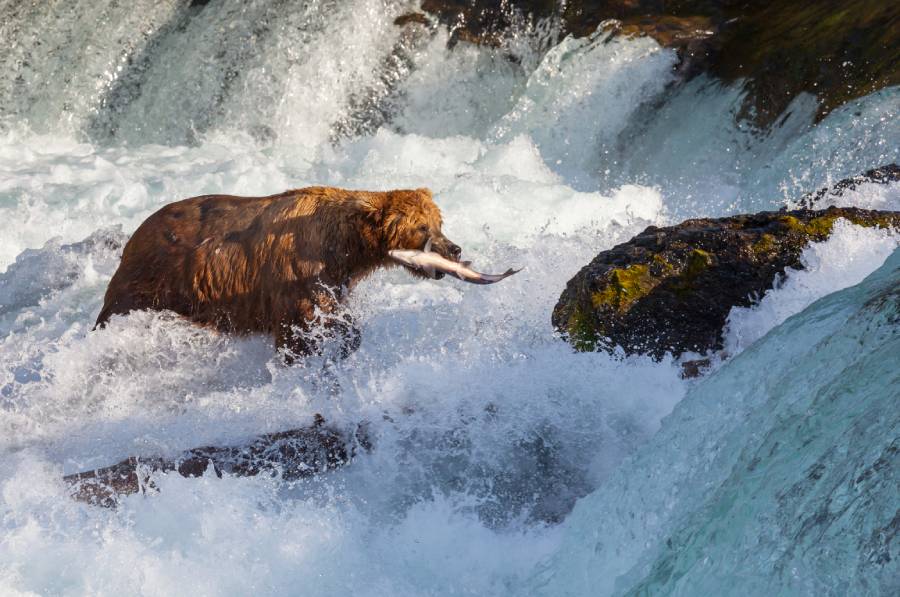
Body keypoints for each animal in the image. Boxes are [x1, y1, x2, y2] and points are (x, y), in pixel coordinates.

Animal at [95, 186, 461, 359]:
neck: (347, 246)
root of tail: (135, 234)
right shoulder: (296, 276)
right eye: (422, 226)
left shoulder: (333, 279)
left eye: (439, 222)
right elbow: (301, 327)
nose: (454, 249)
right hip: (149, 281)